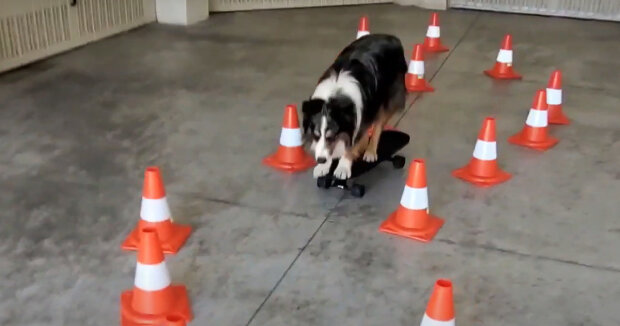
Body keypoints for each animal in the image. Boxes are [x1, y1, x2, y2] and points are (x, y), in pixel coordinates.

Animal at [302, 34, 410, 180]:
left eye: (331, 137)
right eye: (316, 135)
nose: (320, 160)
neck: (335, 96)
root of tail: (392, 37)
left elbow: (350, 144)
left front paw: (343, 167)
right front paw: (324, 166)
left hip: (387, 98)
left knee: (378, 125)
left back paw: (370, 151)